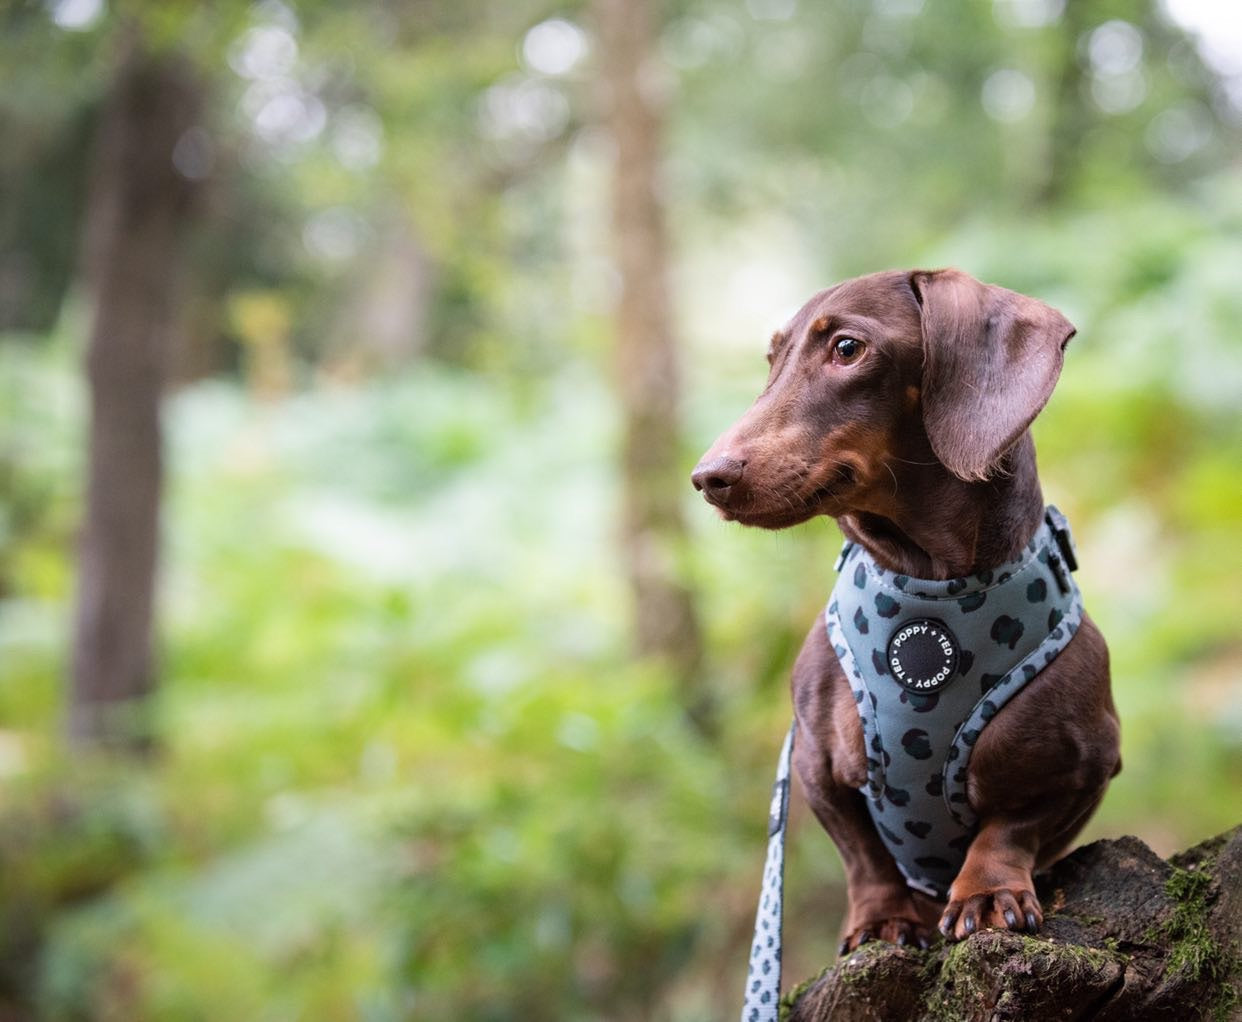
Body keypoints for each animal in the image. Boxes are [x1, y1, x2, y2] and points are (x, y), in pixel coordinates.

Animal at [695, 269, 1122, 953]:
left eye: (847, 348)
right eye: (772, 358)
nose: (708, 477)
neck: (931, 586)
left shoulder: (1089, 760)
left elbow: (1011, 827)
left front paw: (987, 890)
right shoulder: (812, 763)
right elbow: (863, 855)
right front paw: (881, 919)